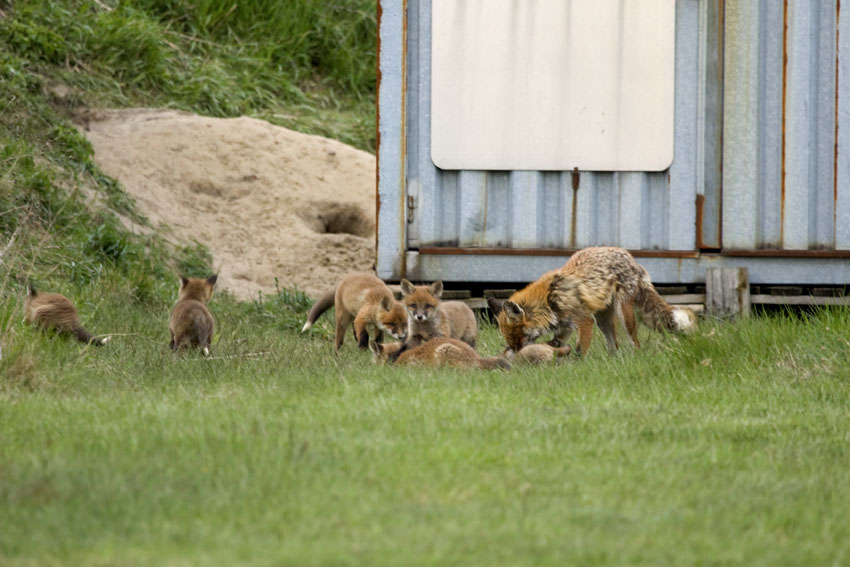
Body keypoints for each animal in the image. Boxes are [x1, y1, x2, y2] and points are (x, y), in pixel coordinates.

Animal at [486, 247, 692, 356]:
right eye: (509, 340)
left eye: (518, 337)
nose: (515, 351)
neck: (550, 301)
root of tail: (631, 258)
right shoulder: (564, 329)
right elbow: (555, 344)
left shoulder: (584, 322)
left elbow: (579, 350)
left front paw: (575, 365)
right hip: (603, 320)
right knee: (614, 346)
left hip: (623, 314)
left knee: (634, 343)